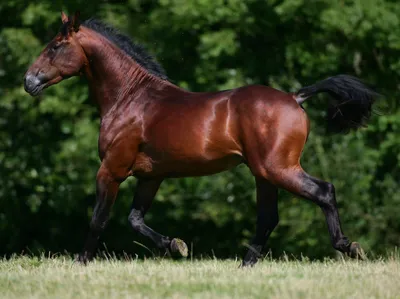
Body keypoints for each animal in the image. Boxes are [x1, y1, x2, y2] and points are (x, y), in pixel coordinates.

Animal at [23, 11, 376, 268]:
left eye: (55, 46)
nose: (29, 82)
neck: (131, 98)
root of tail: (294, 97)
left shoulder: (111, 170)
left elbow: (100, 218)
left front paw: (80, 262)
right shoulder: (151, 177)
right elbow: (135, 219)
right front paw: (176, 246)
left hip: (278, 169)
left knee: (323, 192)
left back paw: (350, 247)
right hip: (264, 174)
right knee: (268, 218)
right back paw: (245, 266)